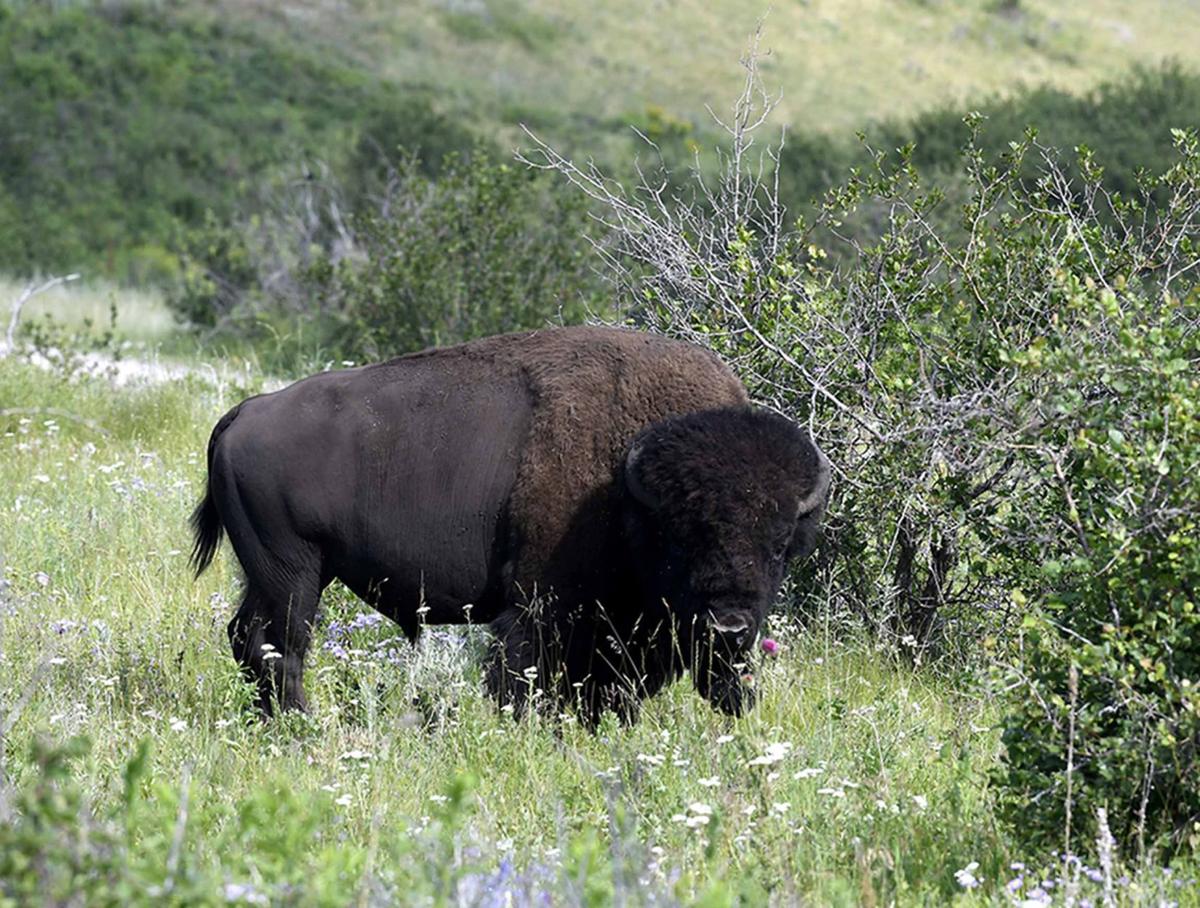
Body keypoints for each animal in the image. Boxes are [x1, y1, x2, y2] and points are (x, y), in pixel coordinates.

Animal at [190, 326, 830, 726]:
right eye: (683, 538)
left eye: (780, 547)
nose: (729, 628)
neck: (626, 487)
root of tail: (244, 412)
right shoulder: (539, 607)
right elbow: (524, 679)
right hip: (293, 573)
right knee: (281, 646)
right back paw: (303, 726)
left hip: (277, 575)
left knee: (247, 638)